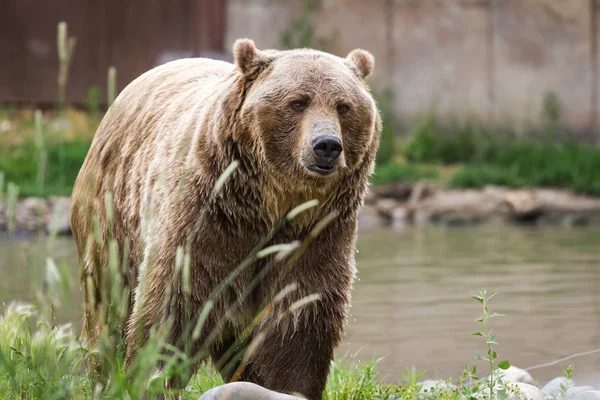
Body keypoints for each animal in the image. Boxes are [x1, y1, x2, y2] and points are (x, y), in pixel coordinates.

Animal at [70, 38, 380, 400]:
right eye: (298, 102)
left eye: (343, 106)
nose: (327, 145)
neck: (273, 202)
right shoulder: (208, 215)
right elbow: (174, 301)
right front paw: (149, 376)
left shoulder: (318, 230)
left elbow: (301, 310)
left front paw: (287, 385)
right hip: (111, 214)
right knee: (109, 304)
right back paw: (106, 374)